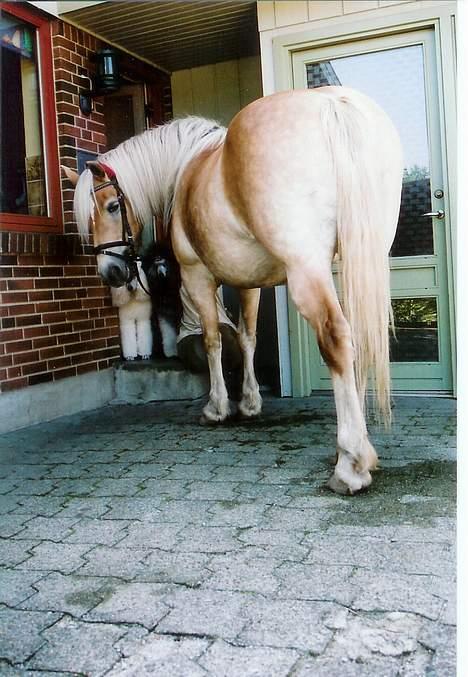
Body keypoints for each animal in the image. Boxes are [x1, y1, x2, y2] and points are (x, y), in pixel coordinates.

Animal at [64, 87, 404, 494]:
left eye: (112, 206)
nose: (112, 272)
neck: (190, 167)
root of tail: (331, 103)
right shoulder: (249, 284)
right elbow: (246, 338)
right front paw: (251, 402)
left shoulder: (197, 276)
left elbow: (212, 340)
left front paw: (217, 407)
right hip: (362, 259)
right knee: (362, 339)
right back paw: (363, 448)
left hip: (308, 270)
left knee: (337, 338)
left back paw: (351, 463)